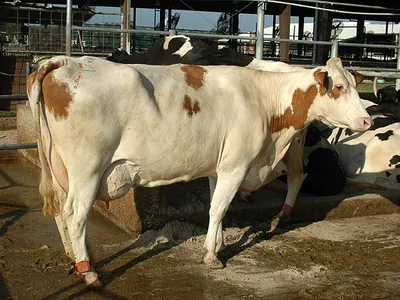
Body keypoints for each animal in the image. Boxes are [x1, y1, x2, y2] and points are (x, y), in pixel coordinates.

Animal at [27, 55, 372, 288]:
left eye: (356, 86)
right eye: (340, 86)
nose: (368, 121)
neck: (263, 99)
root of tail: (64, 62)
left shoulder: (219, 169)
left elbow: (215, 208)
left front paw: (217, 244)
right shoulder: (235, 166)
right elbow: (219, 209)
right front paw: (211, 256)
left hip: (61, 169)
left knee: (61, 213)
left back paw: (73, 259)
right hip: (87, 169)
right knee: (75, 214)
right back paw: (89, 271)